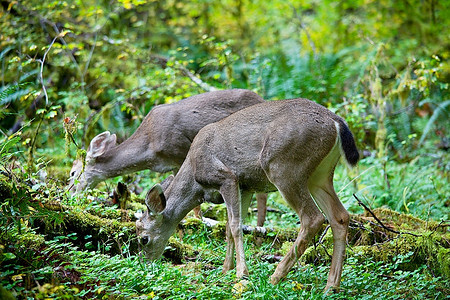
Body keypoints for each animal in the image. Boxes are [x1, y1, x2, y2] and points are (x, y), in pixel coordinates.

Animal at [67, 89, 268, 225]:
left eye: (72, 173)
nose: (67, 193)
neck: (150, 149)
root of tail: (262, 99)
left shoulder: (181, 151)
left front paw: (198, 221)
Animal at [135, 98, 360, 290]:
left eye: (143, 239)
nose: (145, 263)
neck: (194, 176)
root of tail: (336, 122)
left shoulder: (227, 177)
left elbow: (235, 226)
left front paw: (241, 273)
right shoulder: (246, 187)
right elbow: (228, 227)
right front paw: (225, 270)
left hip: (284, 167)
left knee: (312, 218)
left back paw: (275, 276)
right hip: (320, 175)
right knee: (340, 216)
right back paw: (331, 286)